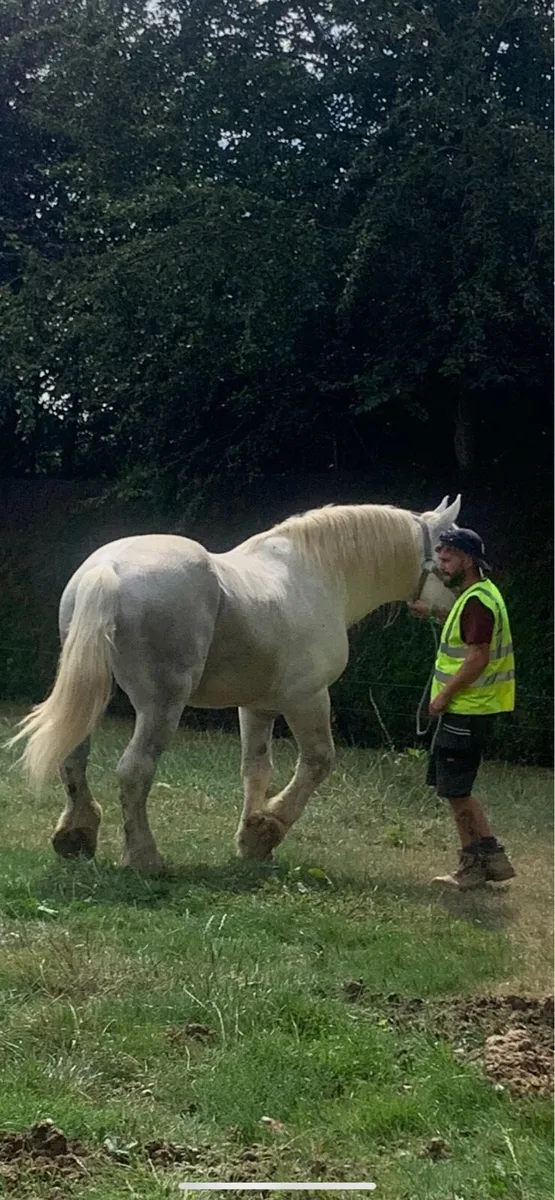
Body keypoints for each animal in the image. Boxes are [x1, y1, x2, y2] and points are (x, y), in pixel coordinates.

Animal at [9, 494, 461, 872]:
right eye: (448, 550)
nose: (458, 607)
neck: (317, 574)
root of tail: (109, 569)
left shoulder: (257, 706)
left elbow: (257, 770)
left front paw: (250, 840)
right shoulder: (307, 698)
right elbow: (317, 762)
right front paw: (268, 829)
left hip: (96, 694)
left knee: (74, 756)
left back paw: (76, 835)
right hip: (162, 705)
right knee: (135, 770)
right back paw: (144, 858)